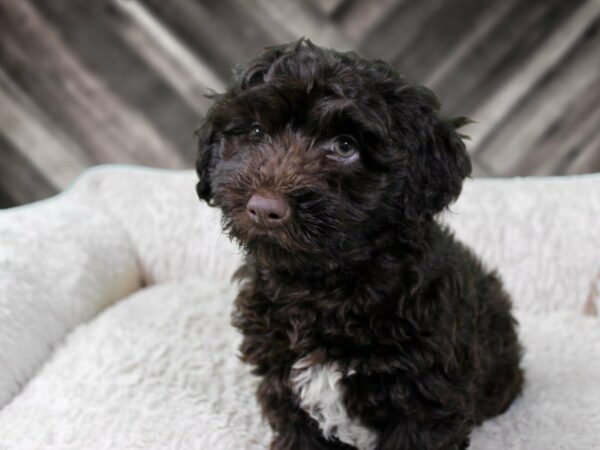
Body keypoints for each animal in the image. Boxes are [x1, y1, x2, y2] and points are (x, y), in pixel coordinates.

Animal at [196, 38, 520, 450]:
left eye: (345, 146)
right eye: (255, 130)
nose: (265, 208)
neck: (323, 286)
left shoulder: (427, 399)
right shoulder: (282, 378)